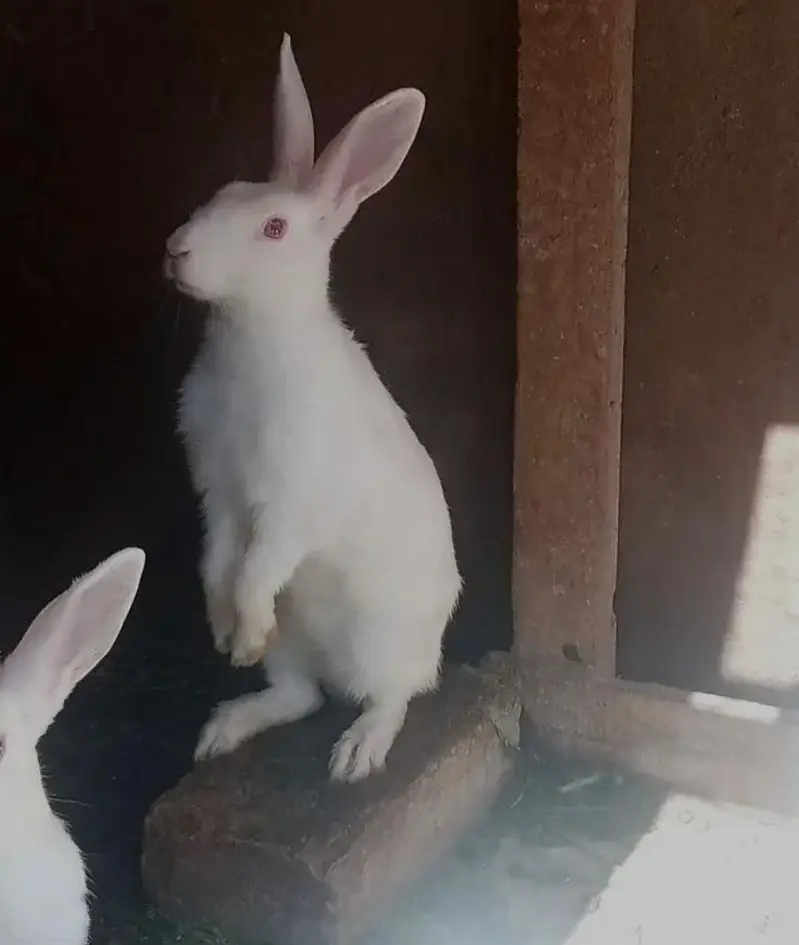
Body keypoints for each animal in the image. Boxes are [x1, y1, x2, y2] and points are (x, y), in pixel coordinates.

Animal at [167, 33, 462, 783]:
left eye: (273, 228)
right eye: (222, 195)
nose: (176, 250)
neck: (252, 337)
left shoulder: (292, 499)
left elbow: (258, 564)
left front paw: (241, 624)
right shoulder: (219, 490)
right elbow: (217, 558)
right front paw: (226, 633)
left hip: (379, 637)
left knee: (393, 695)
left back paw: (356, 753)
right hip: (295, 646)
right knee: (298, 695)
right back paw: (224, 725)